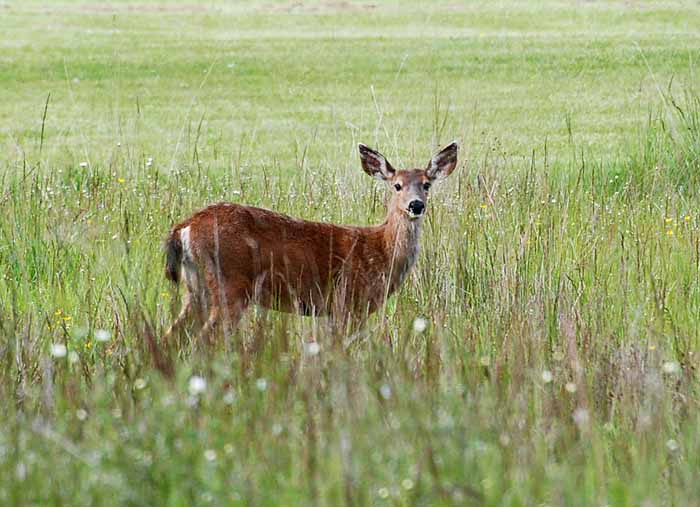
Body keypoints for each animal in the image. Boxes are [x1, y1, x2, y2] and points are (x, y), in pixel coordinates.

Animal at [163, 143, 460, 346]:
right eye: (397, 185)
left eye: (427, 184)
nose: (416, 205)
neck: (380, 251)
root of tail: (185, 227)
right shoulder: (347, 302)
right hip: (230, 284)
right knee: (203, 340)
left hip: (196, 288)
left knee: (174, 335)